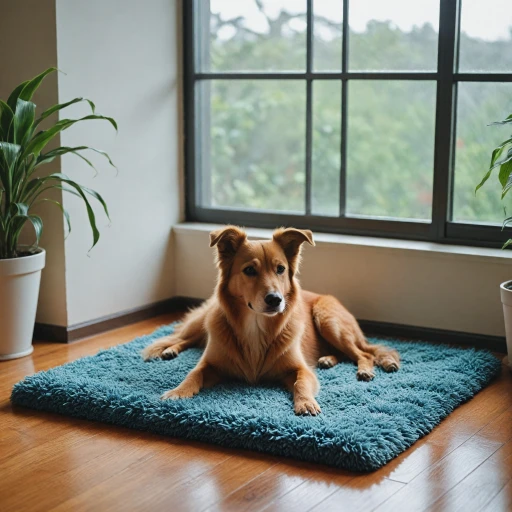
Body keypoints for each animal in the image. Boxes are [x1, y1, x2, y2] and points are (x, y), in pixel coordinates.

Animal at [141, 226, 400, 414]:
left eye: (280, 269)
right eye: (249, 270)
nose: (276, 300)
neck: (256, 325)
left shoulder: (300, 369)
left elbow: (301, 382)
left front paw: (305, 402)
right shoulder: (209, 364)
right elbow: (193, 374)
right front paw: (178, 391)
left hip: (328, 320)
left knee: (363, 353)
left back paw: (359, 367)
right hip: (204, 322)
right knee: (184, 338)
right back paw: (169, 350)